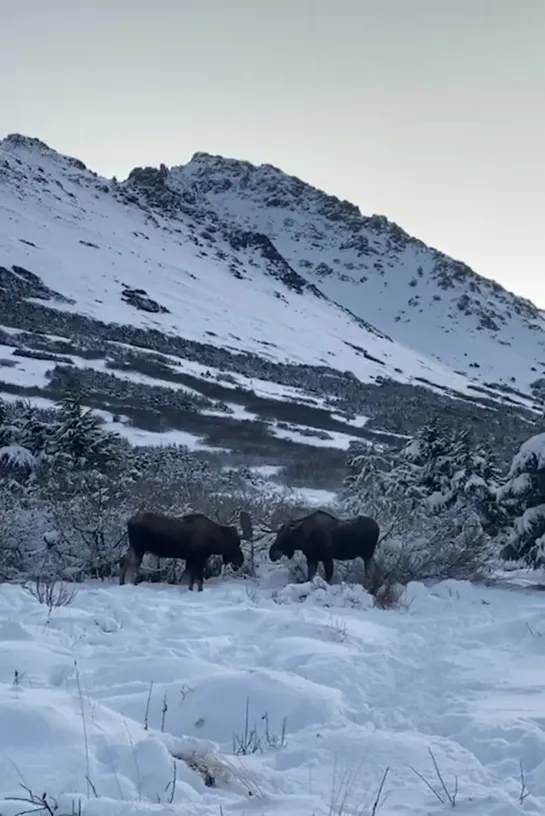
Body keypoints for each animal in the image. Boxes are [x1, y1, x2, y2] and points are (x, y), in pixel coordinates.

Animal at [119, 506, 251, 588]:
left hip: (133, 547)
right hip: (140, 548)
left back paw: (121, 583)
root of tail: (129, 521)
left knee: (124, 561)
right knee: (132, 568)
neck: (215, 541)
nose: (240, 561)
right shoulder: (197, 559)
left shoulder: (190, 559)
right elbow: (194, 580)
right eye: (236, 543)